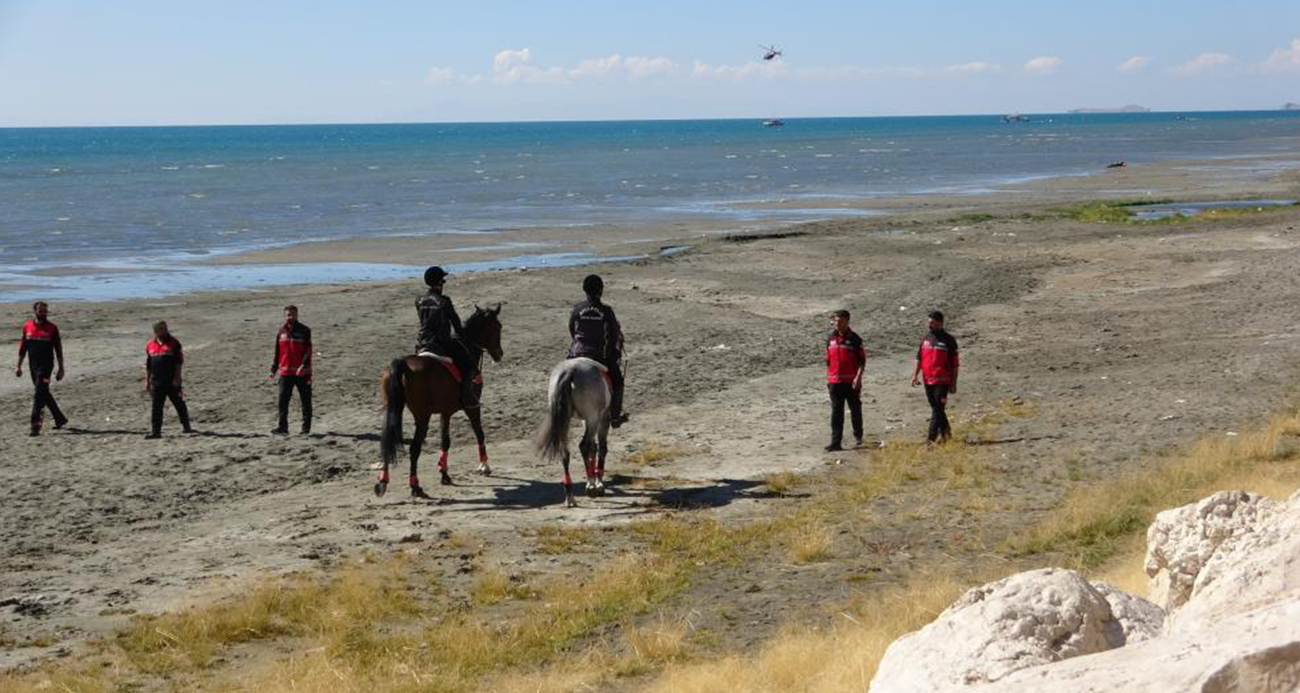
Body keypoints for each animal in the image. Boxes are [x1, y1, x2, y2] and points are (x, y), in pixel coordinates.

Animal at [377, 304, 501, 496]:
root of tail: (403, 363)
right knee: (415, 448)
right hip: (422, 416)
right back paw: (415, 485)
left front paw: (444, 473)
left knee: (386, 441)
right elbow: (479, 432)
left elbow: (445, 441)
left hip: (391, 410)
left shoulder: (446, 412)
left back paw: (383, 481)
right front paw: (484, 465)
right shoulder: (472, 407)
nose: (499, 354)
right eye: (497, 327)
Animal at [540, 358, 616, 504]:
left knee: (565, 451)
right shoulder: (602, 418)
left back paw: (570, 494)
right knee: (584, 445)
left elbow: (593, 447)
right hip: (593, 417)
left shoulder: (587, 420)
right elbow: (601, 447)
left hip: (566, 418)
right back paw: (591, 485)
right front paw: (598, 483)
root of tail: (569, 371)